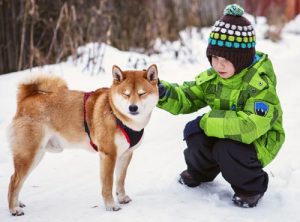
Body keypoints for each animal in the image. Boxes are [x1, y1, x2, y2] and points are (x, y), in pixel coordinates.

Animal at [7, 64, 159, 215]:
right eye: (126, 94)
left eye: (142, 93)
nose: (133, 107)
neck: (117, 115)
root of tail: (26, 99)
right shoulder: (108, 155)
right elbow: (107, 184)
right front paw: (111, 205)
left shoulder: (126, 154)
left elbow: (120, 180)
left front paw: (121, 198)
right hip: (30, 154)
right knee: (14, 180)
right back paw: (14, 208)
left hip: (35, 155)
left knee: (17, 180)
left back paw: (17, 203)